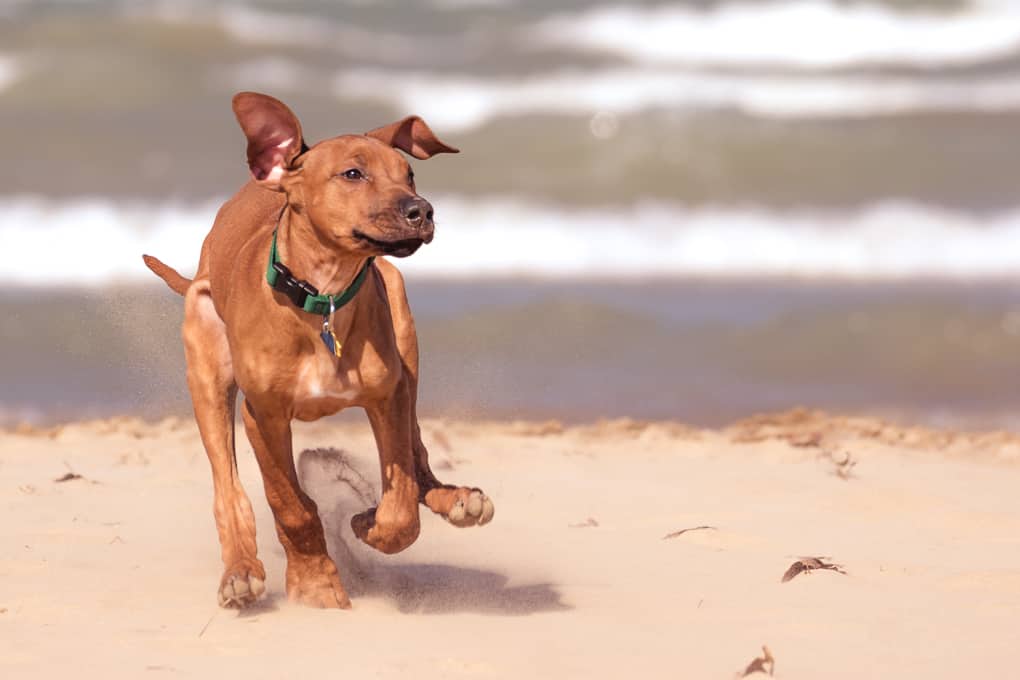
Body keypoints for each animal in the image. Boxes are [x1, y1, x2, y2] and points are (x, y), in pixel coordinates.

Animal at [143, 93, 493, 607]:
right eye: (353, 174)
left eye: (409, 174)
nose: (423, 211)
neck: (323, 297)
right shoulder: (262, 416)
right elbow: (290, 505)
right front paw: (315, 582)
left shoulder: (387, 398)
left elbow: (400, 504)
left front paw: (368, 522)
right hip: (207, 375)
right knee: (227, 487)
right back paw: (240, 569)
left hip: (406, 345)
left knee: (418, 455)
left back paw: (456, 499)